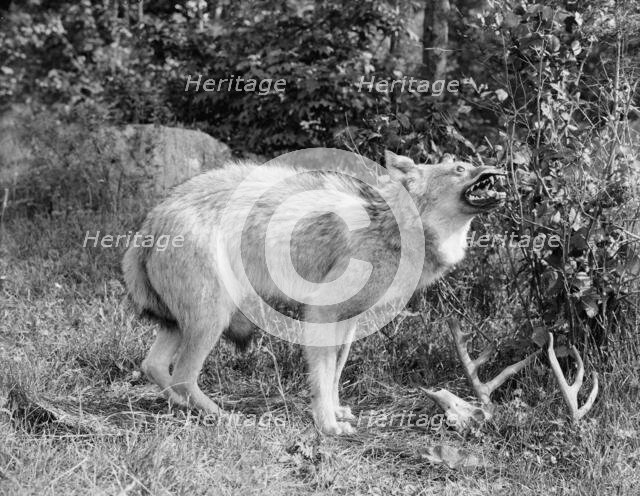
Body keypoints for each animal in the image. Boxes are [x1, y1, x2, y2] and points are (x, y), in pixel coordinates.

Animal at [122, 150, 505, 435]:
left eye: (470, 162)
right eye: (459, 168)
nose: (497, 168)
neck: (393, 227)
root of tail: (151, 221)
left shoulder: (349, 322)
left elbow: (335, 371)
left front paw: (337, 412)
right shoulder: (321, 314)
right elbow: (321, 375)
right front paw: (328, 425)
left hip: (184, 324)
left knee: (154, 366)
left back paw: (184, 409)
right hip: (212, 319)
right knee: (183, 377)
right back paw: (224, 417)